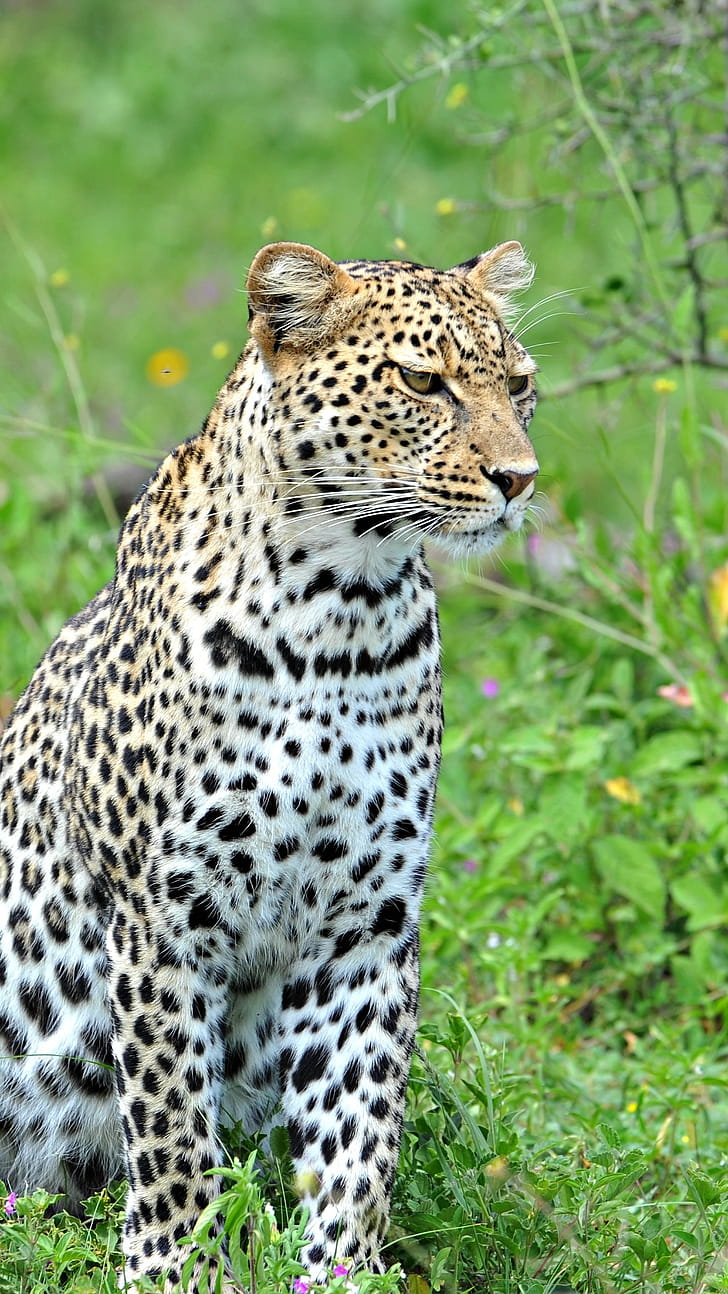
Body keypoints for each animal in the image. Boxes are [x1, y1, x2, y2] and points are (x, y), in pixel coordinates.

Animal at [0, 239, 539, 1291]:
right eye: (425, 382)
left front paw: (339, 1271)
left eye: (520, 386)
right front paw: (171, 1268)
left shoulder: (368, 929)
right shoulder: (162, 920)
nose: (520, 478)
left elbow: (360, 1130)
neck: (341, 617)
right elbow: (171, 1125)